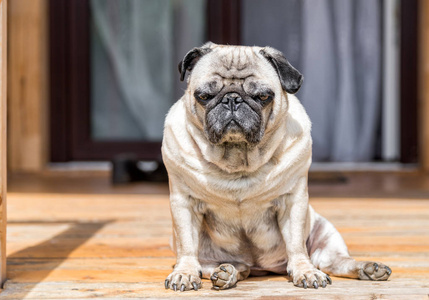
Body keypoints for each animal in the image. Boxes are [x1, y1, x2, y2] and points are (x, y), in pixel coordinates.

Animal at [161, 42, 392, 290]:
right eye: (204, 96)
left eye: (263, 96)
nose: (232, 99)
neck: (237, 159)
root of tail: (260, 268)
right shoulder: (184, 203)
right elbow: (186, 246)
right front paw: (185, 273)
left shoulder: (292, 201)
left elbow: (297, 245)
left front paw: (305, 271)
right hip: (212, 257)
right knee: (230, 267)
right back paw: (226, 273)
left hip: (326, 234)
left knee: (334, 262)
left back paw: (368, 268)